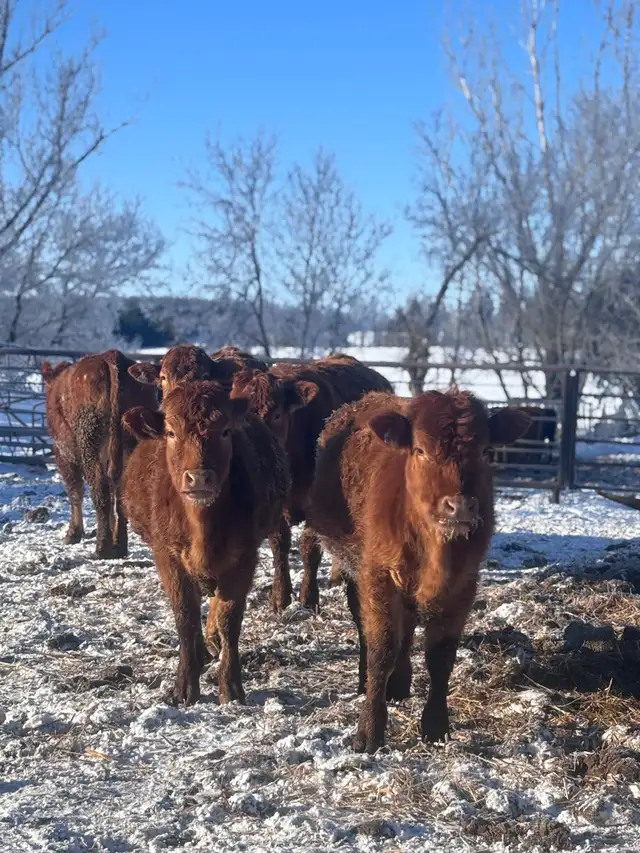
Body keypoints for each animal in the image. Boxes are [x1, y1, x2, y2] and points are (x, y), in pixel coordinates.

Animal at [40, 350, 158, 559]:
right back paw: (119, 545)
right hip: (129, 441)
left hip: (89, 444)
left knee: (99, 488)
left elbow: (75, 491)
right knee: (119, 491)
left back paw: (102, 547)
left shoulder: (63, 452)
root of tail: (111, 357)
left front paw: (73, 533)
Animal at [121, 380, 288, 705]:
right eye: (171, 433)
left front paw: (231, 685)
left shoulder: (244, 557)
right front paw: (185, 685)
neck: (202, 529)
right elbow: (185, 617)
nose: (199, 478)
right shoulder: (168, 557)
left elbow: (228, 618)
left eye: (225, 431)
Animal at [308, 389, 531, 753]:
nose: (460, 506)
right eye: (421, 450)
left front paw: (436, 725)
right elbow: (382, 648)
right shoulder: (378, 575)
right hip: (356, 568)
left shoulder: (463, 585)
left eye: (485, 451)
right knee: (365, 624)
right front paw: (369, 729)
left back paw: (400, 683)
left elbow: (441, 656)